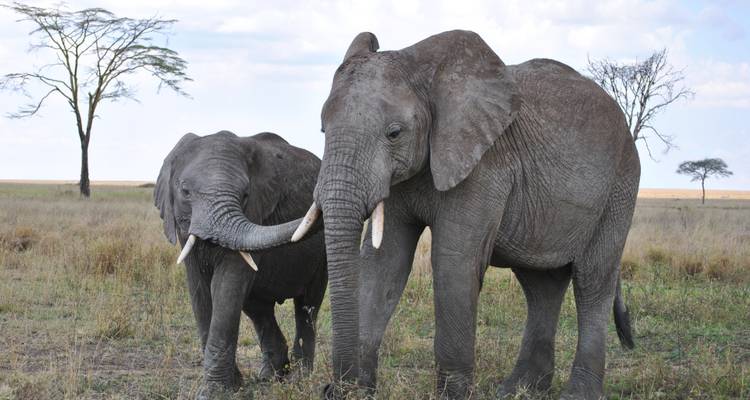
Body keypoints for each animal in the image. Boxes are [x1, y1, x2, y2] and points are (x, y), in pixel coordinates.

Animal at [154, 131, 327, 398]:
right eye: (185, 191)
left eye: (245, 195)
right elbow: (200, 291)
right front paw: (232, 386)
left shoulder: (255, 211)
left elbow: (227, 285)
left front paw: (215, 392)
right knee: (258, 308)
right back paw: (270, 376)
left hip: (322, 255)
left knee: (307, 305)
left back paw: (299, 379)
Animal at [287, 30, 639, 399]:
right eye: (323, 130)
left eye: (394, 133)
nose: (332, 387)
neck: (424, 71)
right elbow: (384, 263)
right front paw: (359, 391)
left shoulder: (483, 165)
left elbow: (452, 262)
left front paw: (451, 395)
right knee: (541, 285)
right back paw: (518, 390)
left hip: (620, 186)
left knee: (592, 282)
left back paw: (576, 393)